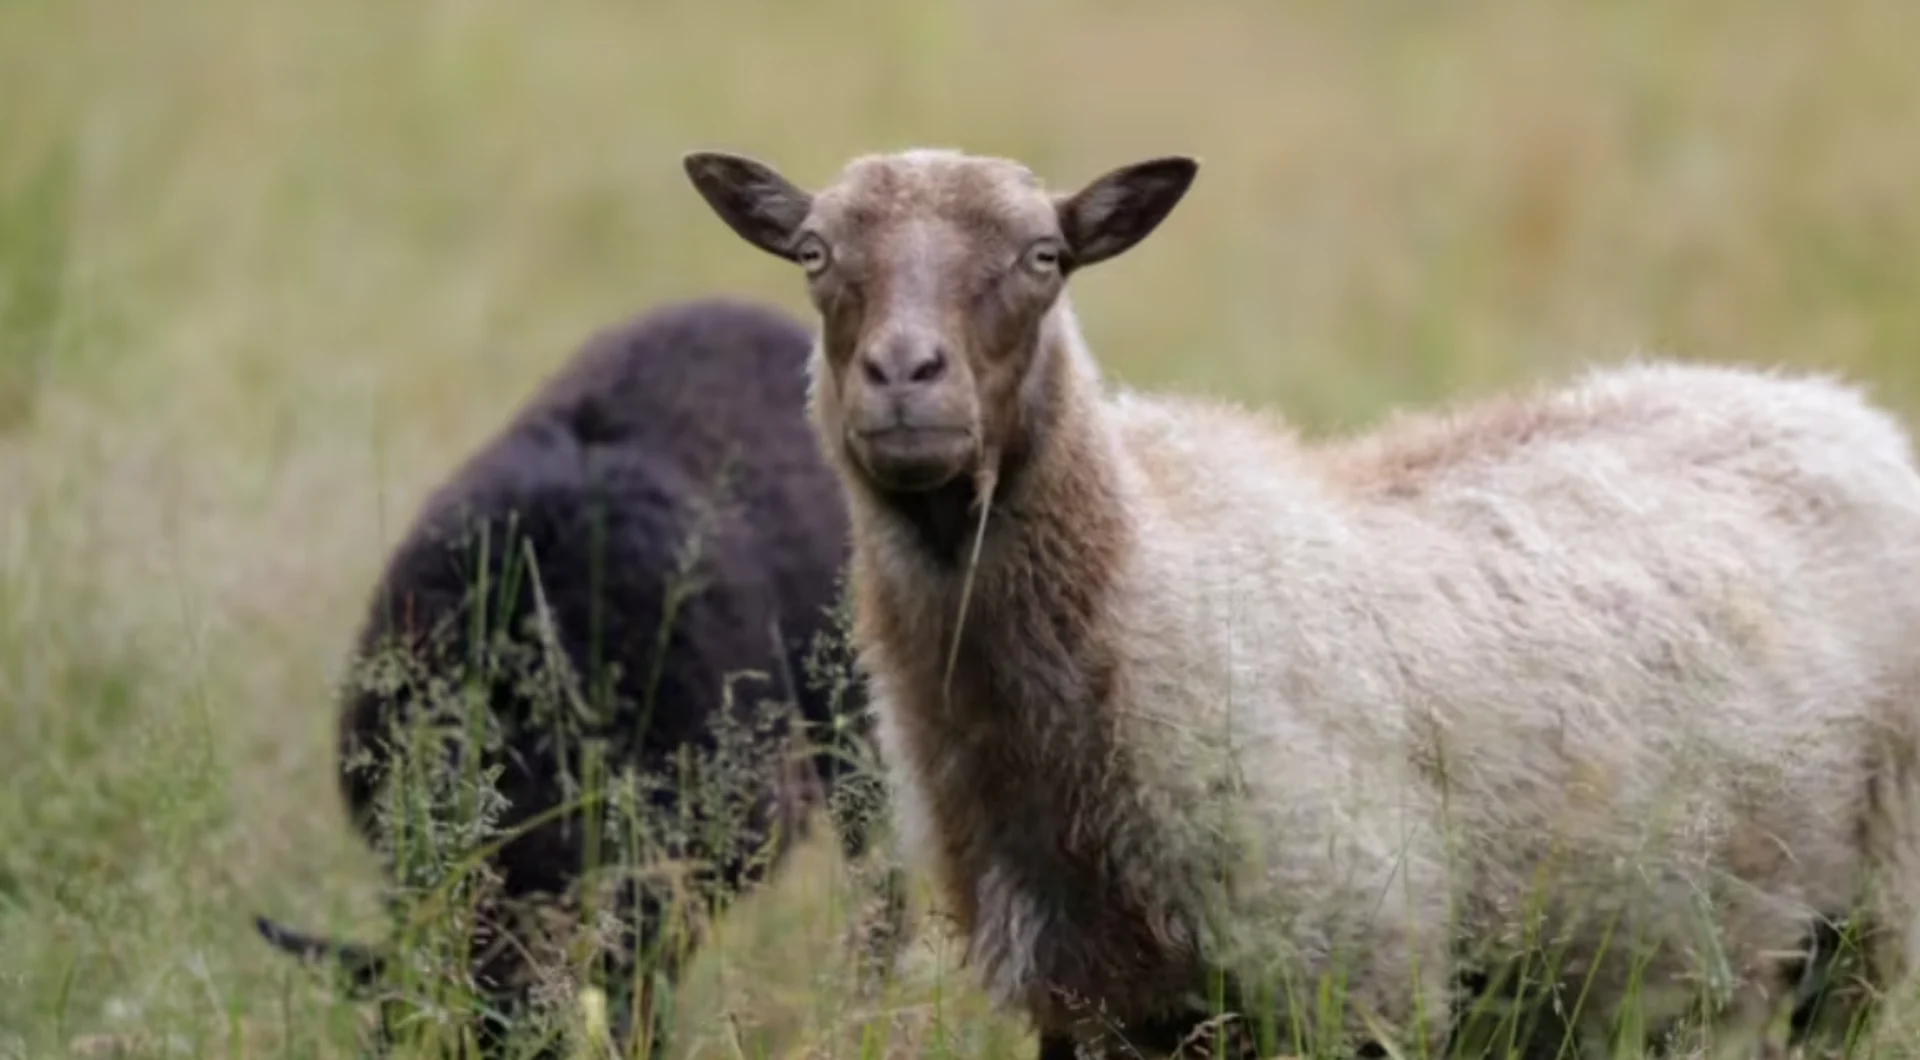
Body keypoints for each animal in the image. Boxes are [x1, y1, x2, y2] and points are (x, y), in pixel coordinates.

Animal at [675, 146, 1920, 1060]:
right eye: (815, 251)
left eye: (1045, 256)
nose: (903, 380)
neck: (1144, 588)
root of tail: (1834, 408)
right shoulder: (1090, 1002)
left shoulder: (1360, 975)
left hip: (1867, 919)